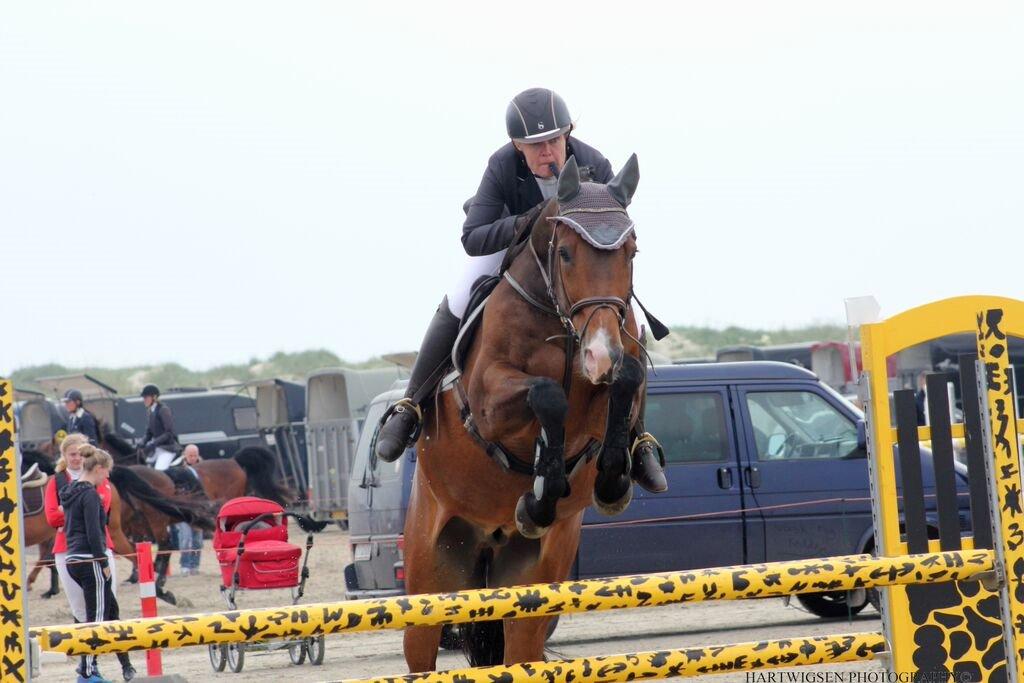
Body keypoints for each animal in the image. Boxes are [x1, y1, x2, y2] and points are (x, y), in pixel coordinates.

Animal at [403, 153, 651, 667]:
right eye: (566, 254)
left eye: (631, 252)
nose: (599, 354)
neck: (559, 322)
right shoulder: (489, 402)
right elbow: (547, 395)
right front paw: (541, 493)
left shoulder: (614, 376)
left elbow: (627, 381)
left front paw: (610, 481)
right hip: (430, 575)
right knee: (421, 651)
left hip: (530, 582)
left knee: (521, 646)